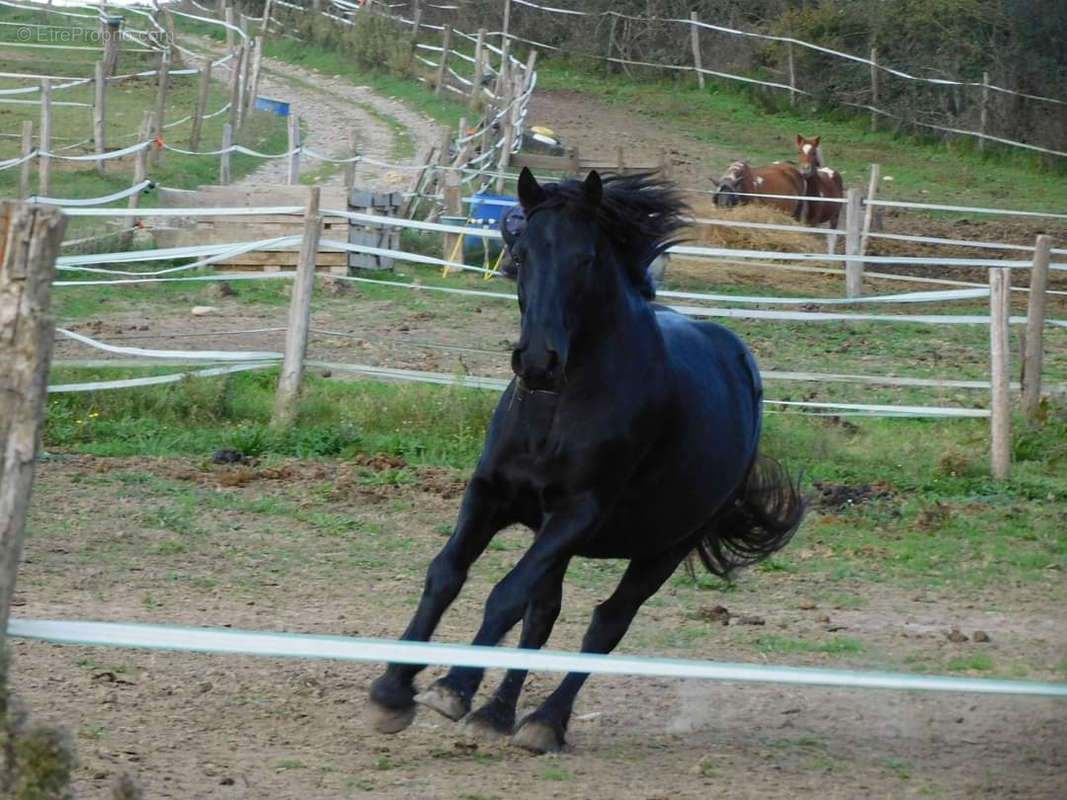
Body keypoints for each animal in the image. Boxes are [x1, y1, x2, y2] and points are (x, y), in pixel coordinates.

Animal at [371, 167, 802, 750]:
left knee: (607, 624)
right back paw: (498, 714)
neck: (558, 410)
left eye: (587, 259)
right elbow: (448, 575)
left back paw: (543, 723)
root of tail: (743, 367)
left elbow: (506, 596)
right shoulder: (492, 493)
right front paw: (393, 690)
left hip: (662, 548)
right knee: (545, 613)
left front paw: (452, 689)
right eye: (521, 253)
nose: (538, 360)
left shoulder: (577, 513)